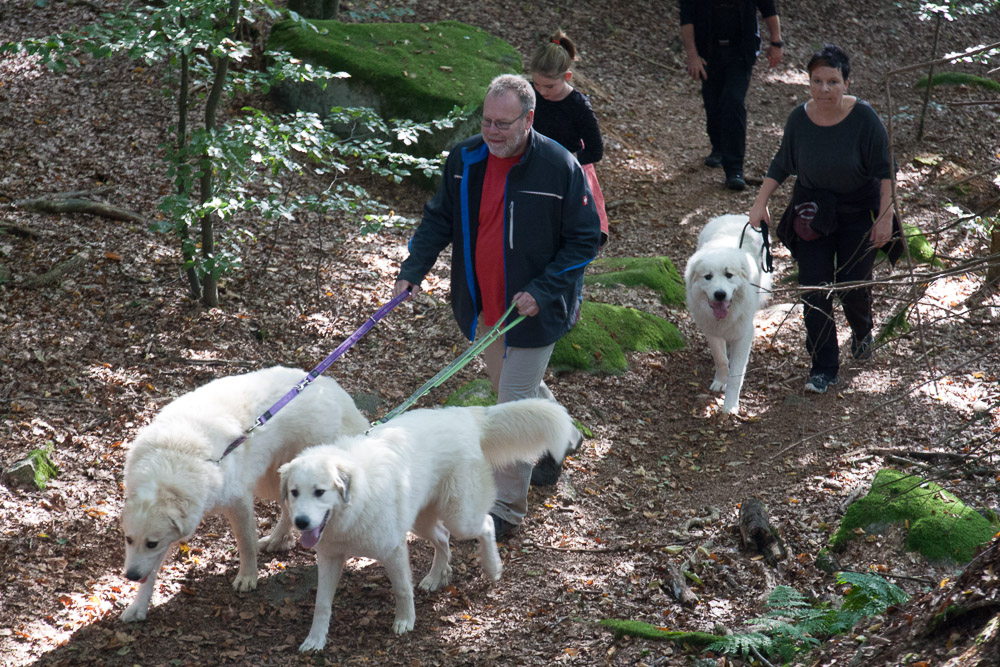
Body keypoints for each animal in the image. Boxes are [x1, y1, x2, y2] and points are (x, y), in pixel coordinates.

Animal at [118, 366, 368, 620]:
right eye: (128, 539)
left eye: (151, 543)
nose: (130, 576)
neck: (172, 458)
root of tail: (330, 386)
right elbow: (151, 571)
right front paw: (138, 607)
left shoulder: (238, 502)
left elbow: (246, 542)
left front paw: (248, 577)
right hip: (275, 480)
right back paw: (277, 540)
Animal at [280, 400, 580, 648]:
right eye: (294, 492)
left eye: (320, 492)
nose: (301, 522)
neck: (357, 497)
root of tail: (464, 415)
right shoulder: (330, 558)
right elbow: (322, 603)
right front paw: (315, 640)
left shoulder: (393, 550)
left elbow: (402, 589)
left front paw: (405, 621)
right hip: (421, 521)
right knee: (443, 538)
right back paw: (438, 576)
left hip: (460, 518)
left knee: (484, 525)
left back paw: (492, 567)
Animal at [684, 214, 776, 414]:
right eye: (708, 277)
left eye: (729, 275)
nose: (720, 294)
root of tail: (732, 216)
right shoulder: (712, 330)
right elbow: (720, 359)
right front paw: (720, 381)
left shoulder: (744, 334)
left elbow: (736, 373)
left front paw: (730, 405)